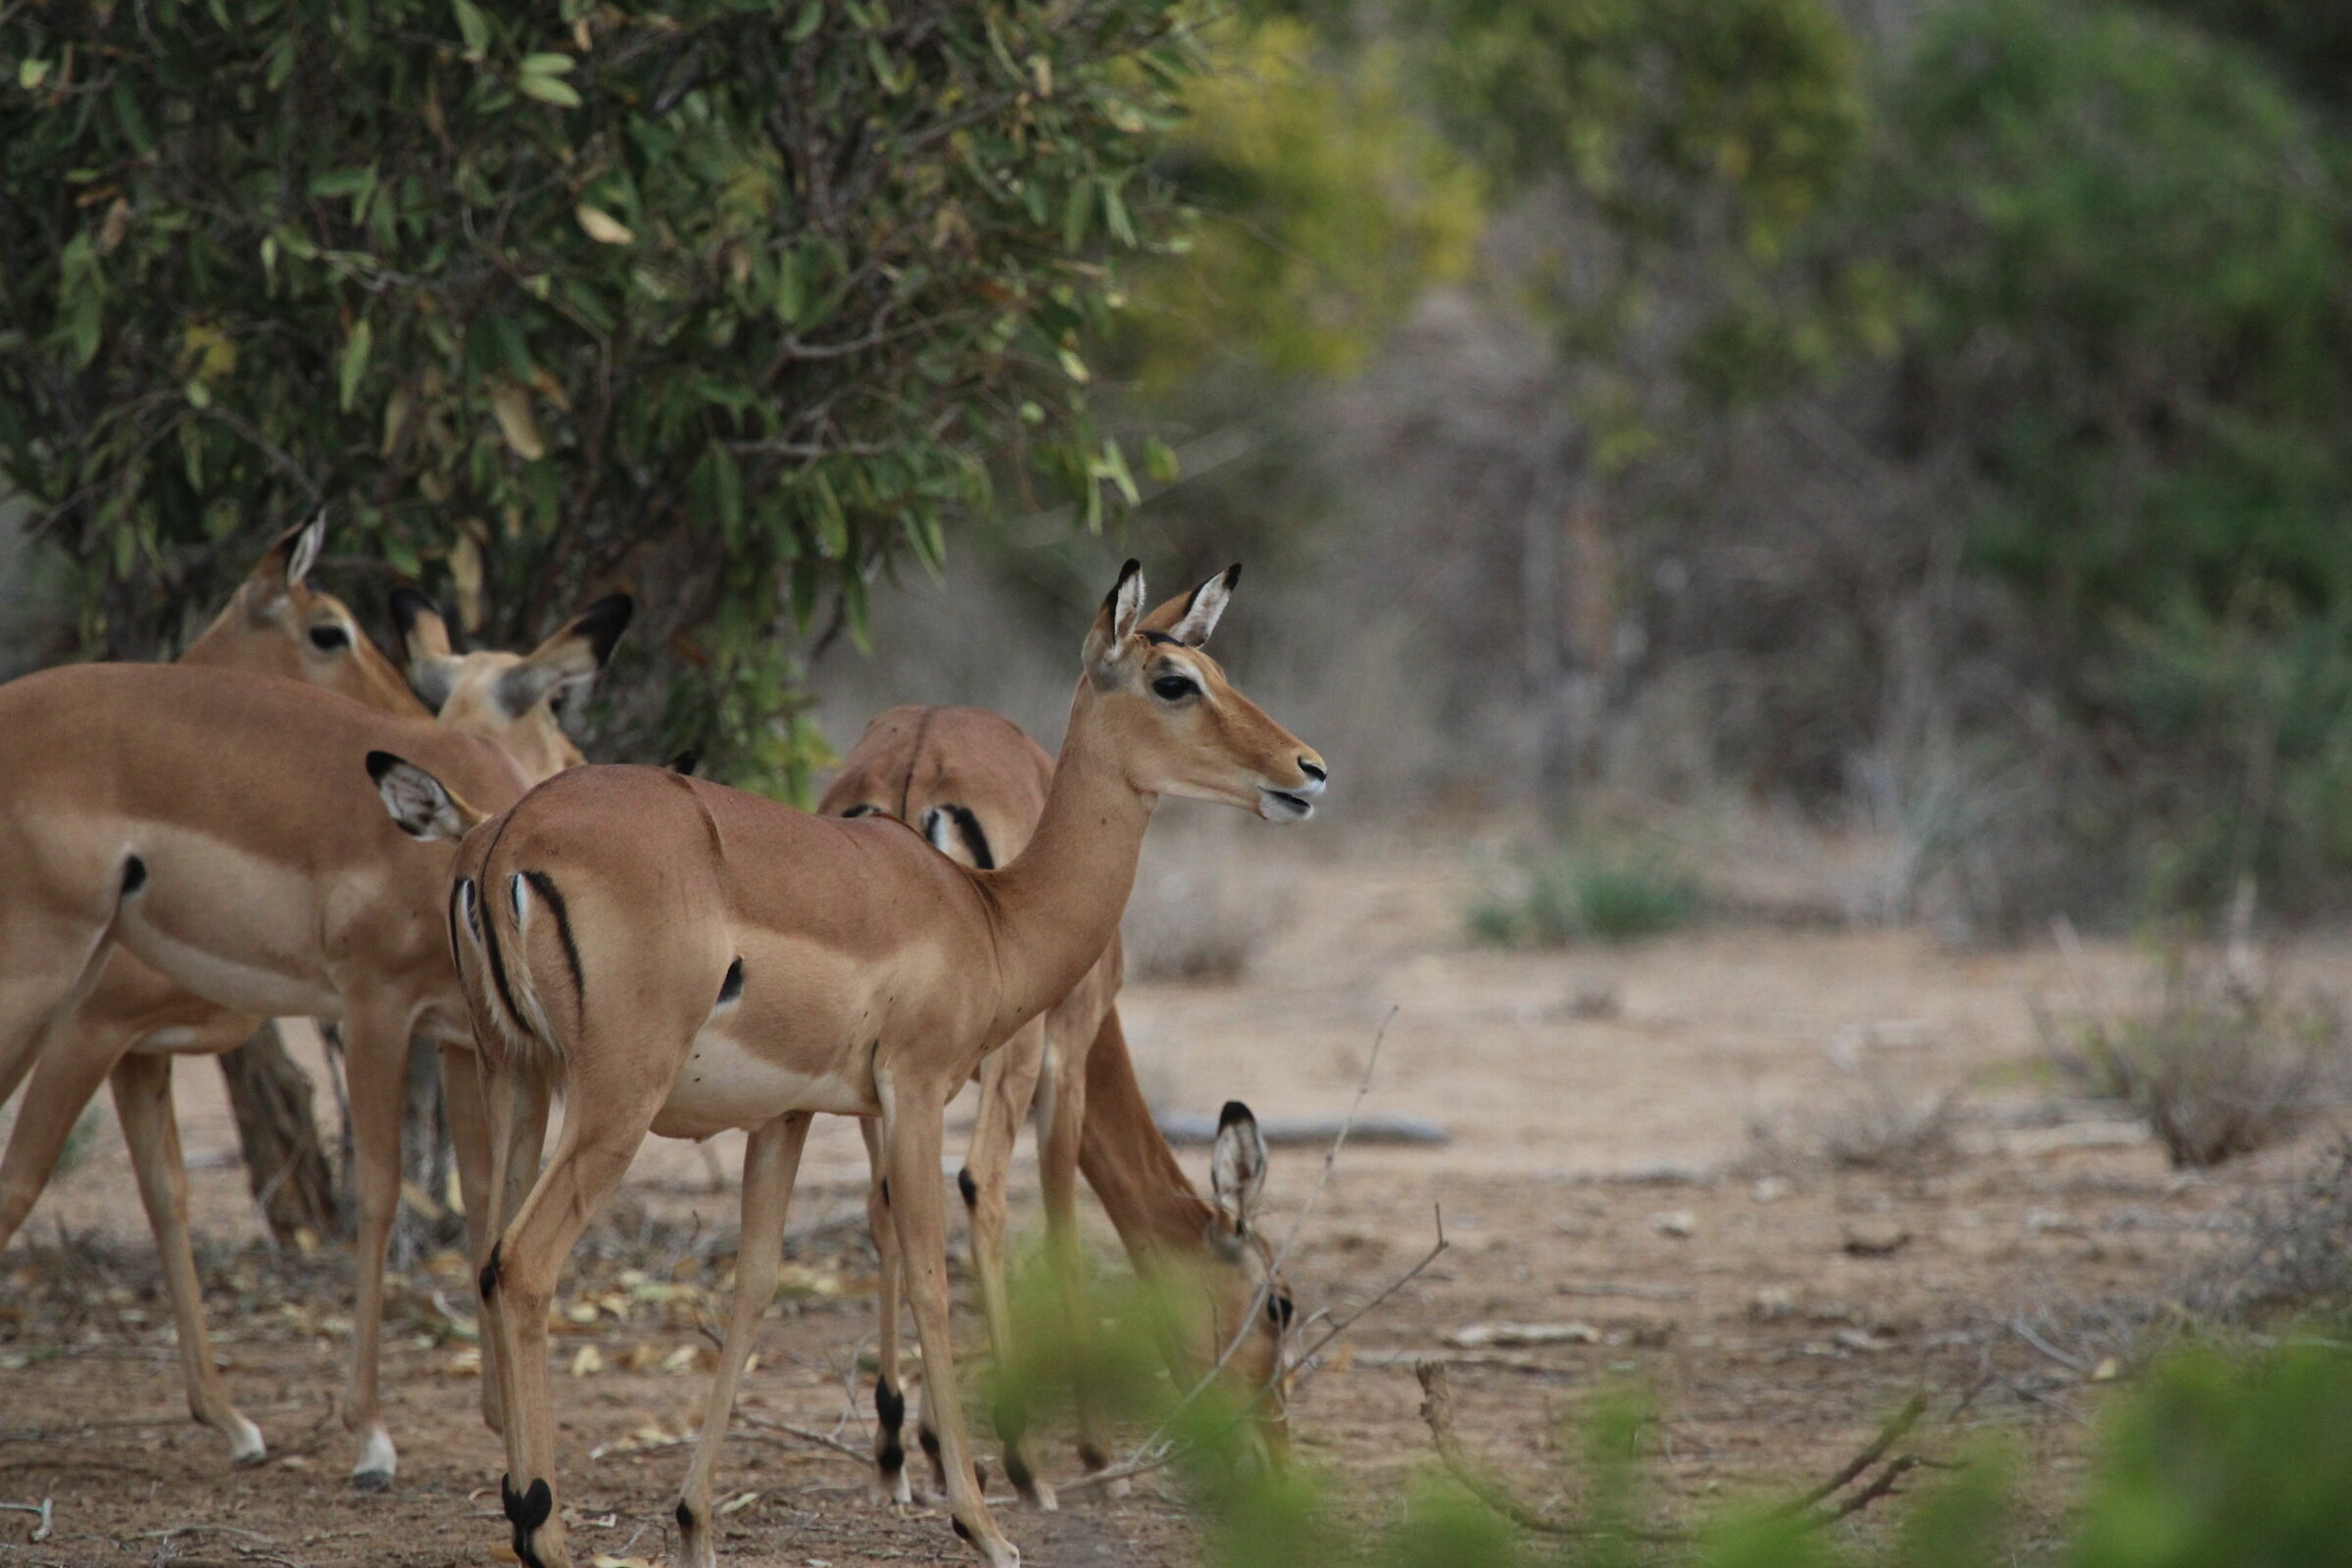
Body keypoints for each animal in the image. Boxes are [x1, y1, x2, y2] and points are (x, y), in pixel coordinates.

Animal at [0, 566, 629, 1489]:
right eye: (554, 700)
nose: (581, 766)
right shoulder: (371, 1011)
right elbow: (377, 1192)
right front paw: (370, 1435)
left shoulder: (458, 1039)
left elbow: (485, 1200)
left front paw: (495, 1416)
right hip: (40, 991)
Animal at [822, 701, 1294, 1510]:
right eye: (1277, 1304)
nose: (1277, 1455)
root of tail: (918, 761)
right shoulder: (1065, 1059)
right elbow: (1063, 1228)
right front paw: (1092, 1450)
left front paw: (929, 1445)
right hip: (1007, 1062)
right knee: (980, 1187)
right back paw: (1024, 1463)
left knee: (885, 1205)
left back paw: (893, 1449)